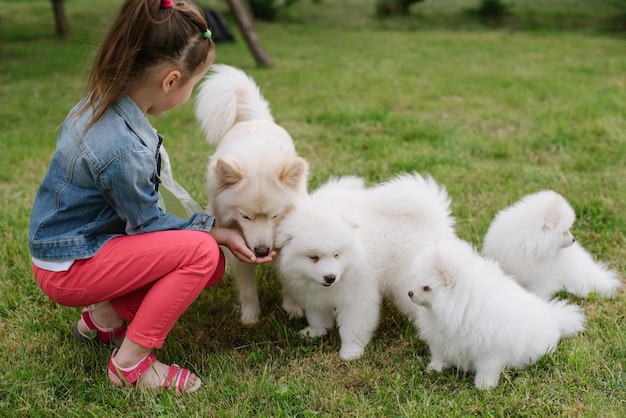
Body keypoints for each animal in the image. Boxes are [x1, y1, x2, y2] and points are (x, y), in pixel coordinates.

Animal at [194, 64, 308, 324]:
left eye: (275, 216)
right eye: (245, 216)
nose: (262, 251)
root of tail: (256, 119)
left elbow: (290, 277)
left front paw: (294, 308)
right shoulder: (241, 247)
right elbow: (247, 288)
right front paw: (250, 318)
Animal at [272, 172, 454, 360]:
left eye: (337, 254)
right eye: (313, 257)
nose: (330, 277)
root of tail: (431, 221)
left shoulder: (357, 296)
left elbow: (353, 326)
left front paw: (351, 352)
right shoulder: (312, 294)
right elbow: (317, 316)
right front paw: (315, 332)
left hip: (409, 282)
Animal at [404, 237, 584, 390]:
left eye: (426, 288)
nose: (410, 293)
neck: (461, 306)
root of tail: (554, 318)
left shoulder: (491, 351)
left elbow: (487, 368)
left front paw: (484, 386)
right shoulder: (441, 340)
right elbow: (439, 356)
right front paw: (434, 369)